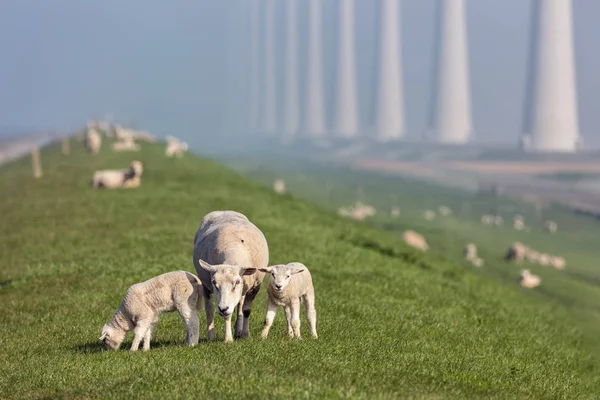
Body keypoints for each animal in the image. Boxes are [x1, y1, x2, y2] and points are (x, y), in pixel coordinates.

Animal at [193, 209, 268, 344]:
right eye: (214, 283)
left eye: (237, 282)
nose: (222, 308)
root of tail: (224, 210)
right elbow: (227, 314)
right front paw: (228, 339)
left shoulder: (255, 286)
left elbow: (246, 310)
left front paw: (245, 334)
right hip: (205, 285)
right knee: (209, 308)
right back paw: (211, 335)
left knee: (240, 304)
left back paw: (238, 330)